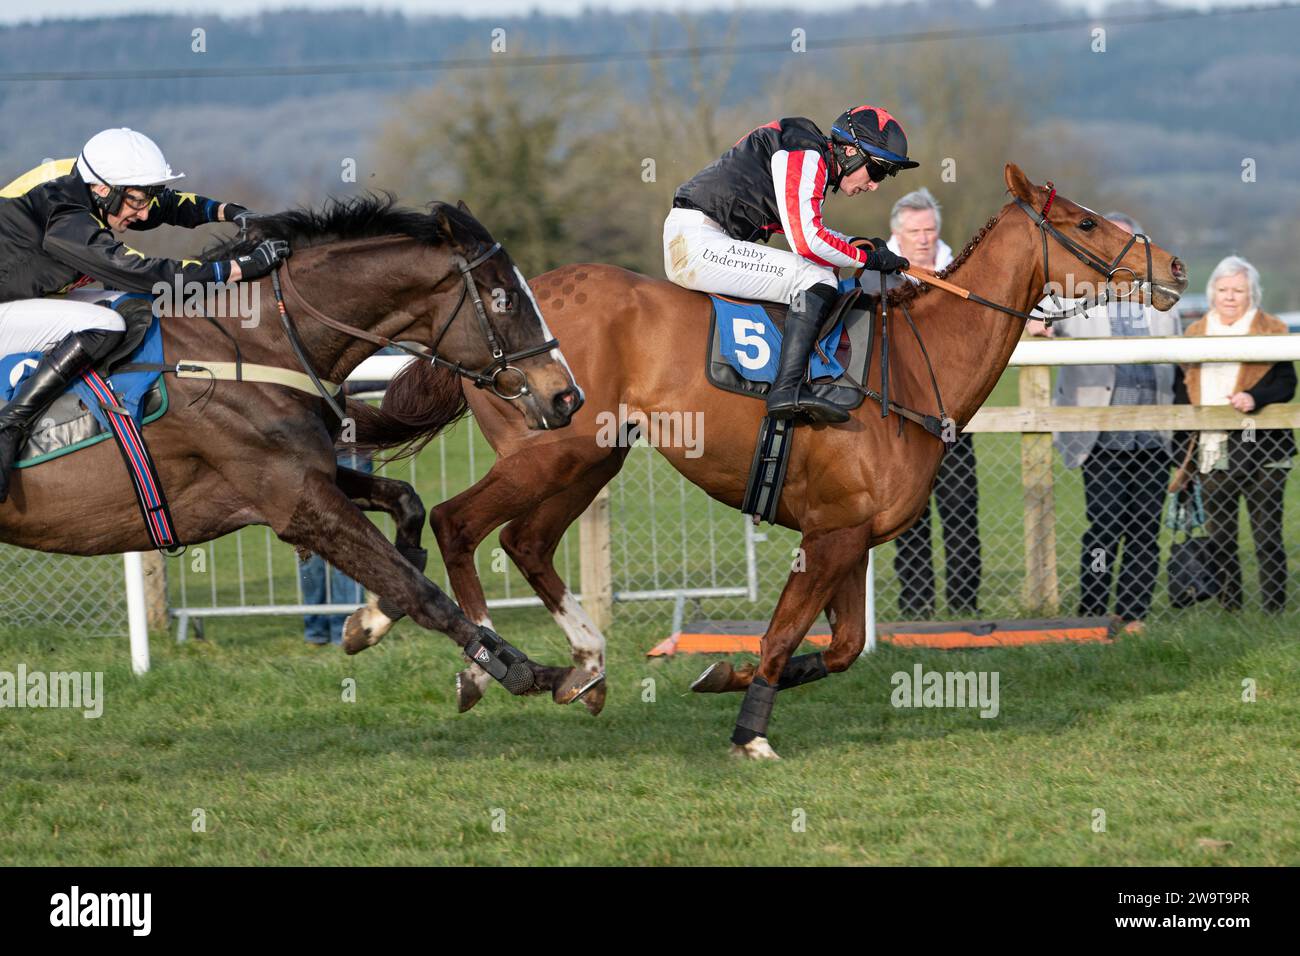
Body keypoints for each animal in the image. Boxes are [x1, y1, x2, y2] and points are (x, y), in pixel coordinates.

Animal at [0, 195, 598, 702]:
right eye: (505, 297)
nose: (567, 396)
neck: (252, 345)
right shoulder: (298, 502)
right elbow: (422, 592)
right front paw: (526, 670)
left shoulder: (310, 475)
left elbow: (406, 506)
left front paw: (370, 618)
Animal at [361, 166, 1185, 764]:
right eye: (1084, 222)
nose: (1173, 264)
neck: (911, 372)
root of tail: (496, 320)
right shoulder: (828, 537)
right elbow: (782, 637)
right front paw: (750, 729)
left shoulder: (847, 534)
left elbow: (839, 649)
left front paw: (722, 675)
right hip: (554, 449)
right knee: (456, 521)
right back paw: (471, 662)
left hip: (592, 456)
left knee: (524, 542)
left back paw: (581, 668)